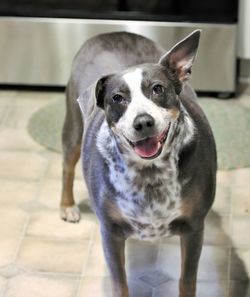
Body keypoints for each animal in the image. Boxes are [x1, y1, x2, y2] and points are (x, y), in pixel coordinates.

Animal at [60, 30, 217, 296]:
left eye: (158, 89)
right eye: (117, 98)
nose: (143, 122)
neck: (150, 174)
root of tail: (110, 32)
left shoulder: (194, 228)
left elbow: (187, 281)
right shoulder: (110, 232)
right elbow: (119, 283)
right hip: (73, 127)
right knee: (67, 166)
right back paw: (67, 206)